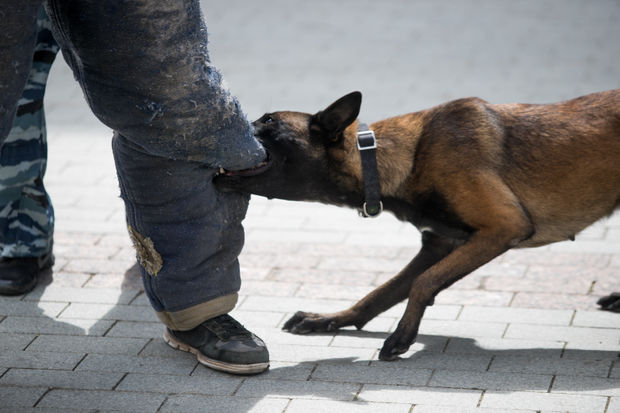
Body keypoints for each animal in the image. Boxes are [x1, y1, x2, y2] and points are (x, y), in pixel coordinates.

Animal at [214, 88, 620, 358]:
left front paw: (403, 335)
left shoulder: (504, 228)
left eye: (268, 120)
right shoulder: (439, 245)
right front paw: (330, 318)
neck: (403, 157)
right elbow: (382, 292)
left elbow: (422, 283)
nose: (227, 122)